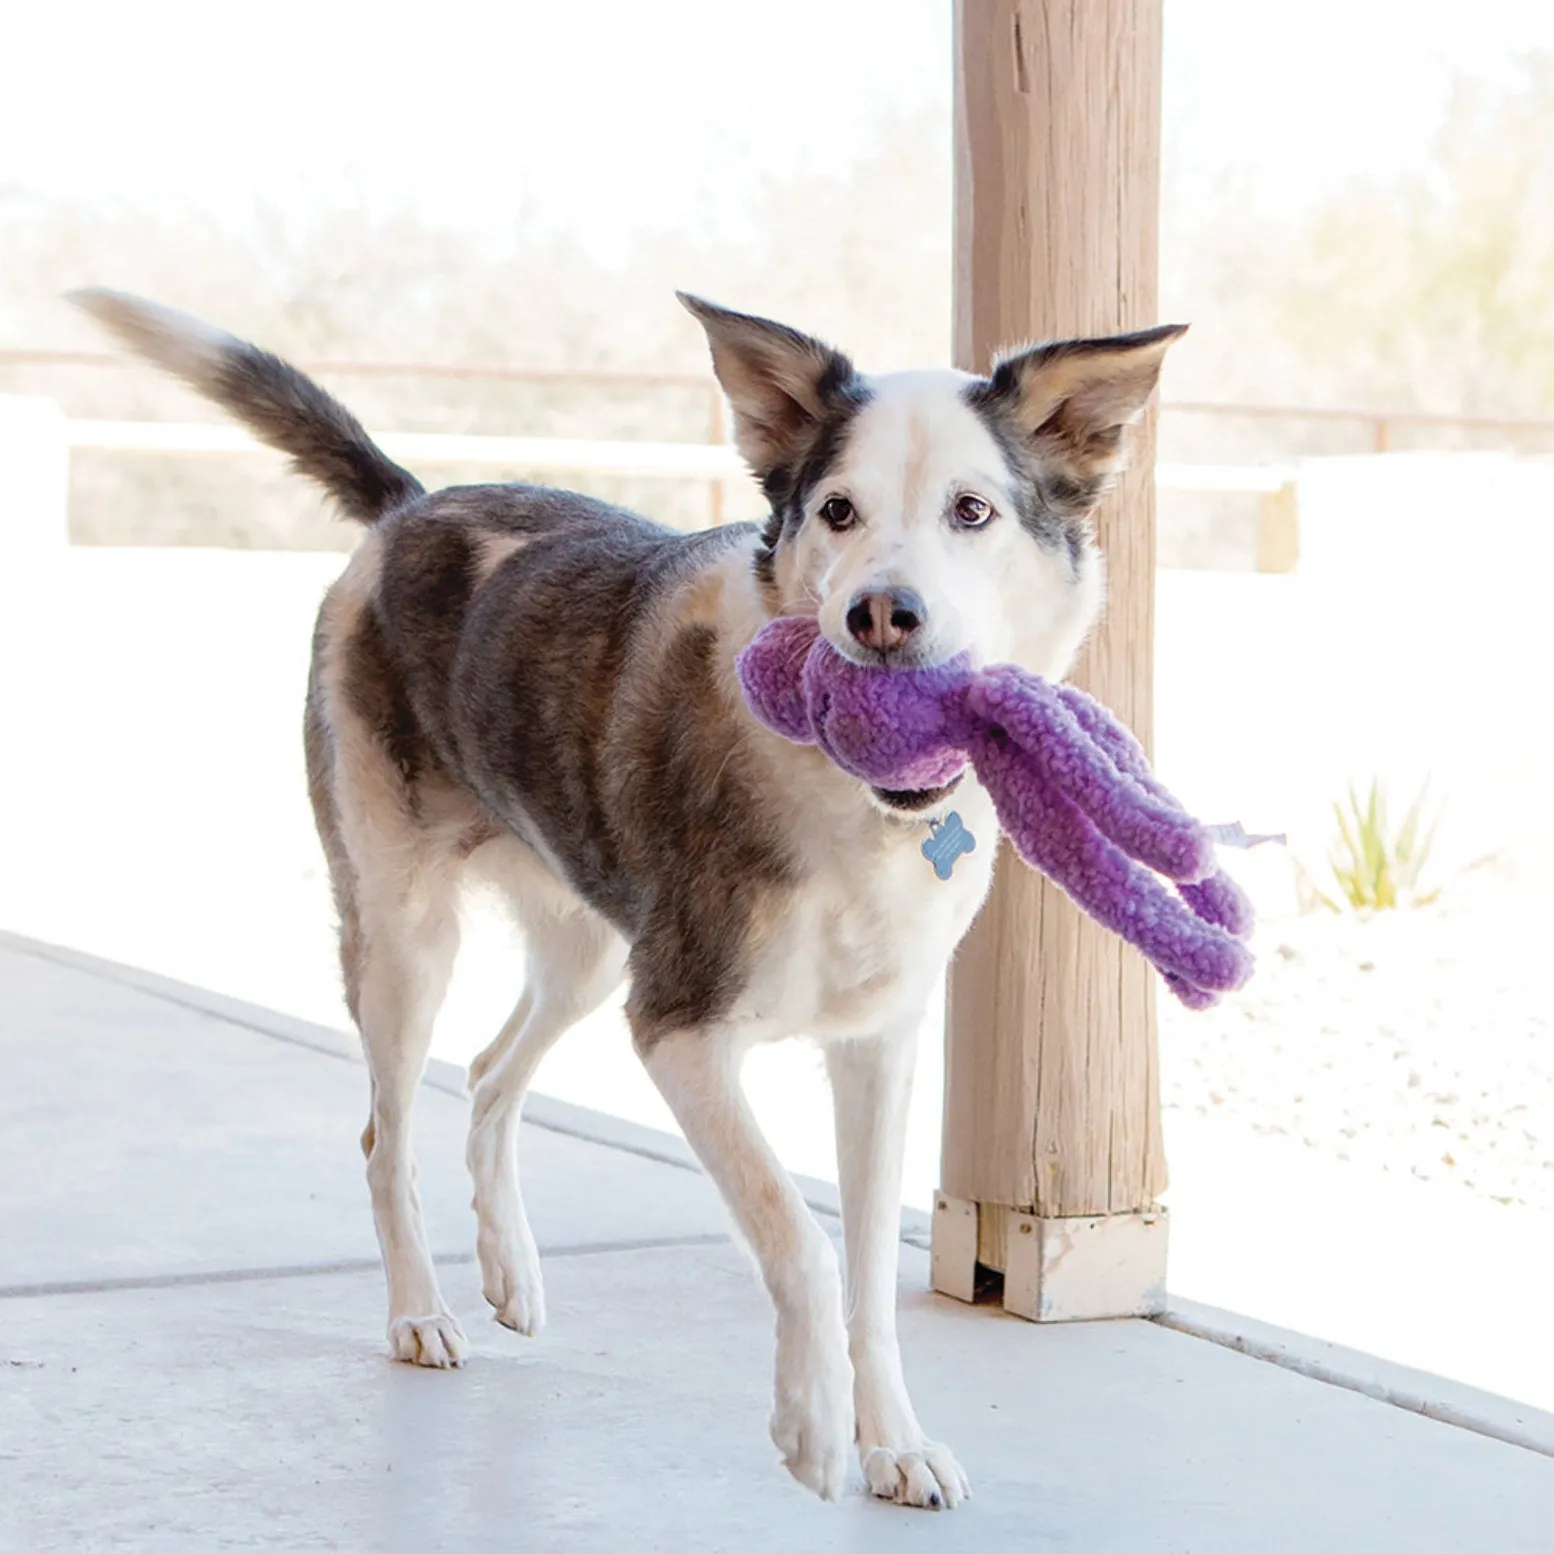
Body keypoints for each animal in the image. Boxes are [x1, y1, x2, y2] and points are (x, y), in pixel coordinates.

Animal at [63, 289, 1174, 1504]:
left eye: (972, 511)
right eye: (837, 510)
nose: (882, 615)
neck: (847, 799)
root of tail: (409, 511)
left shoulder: (877, 1046)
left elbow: (873, 1263)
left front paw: (894, 1440)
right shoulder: (678, 1025)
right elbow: (799, 1234)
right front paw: (813, 1423)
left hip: (589, 949)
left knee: (490, 1075)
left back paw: (509, 1268)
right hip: (408, 936)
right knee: (384, 1134)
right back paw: (420, 1311)